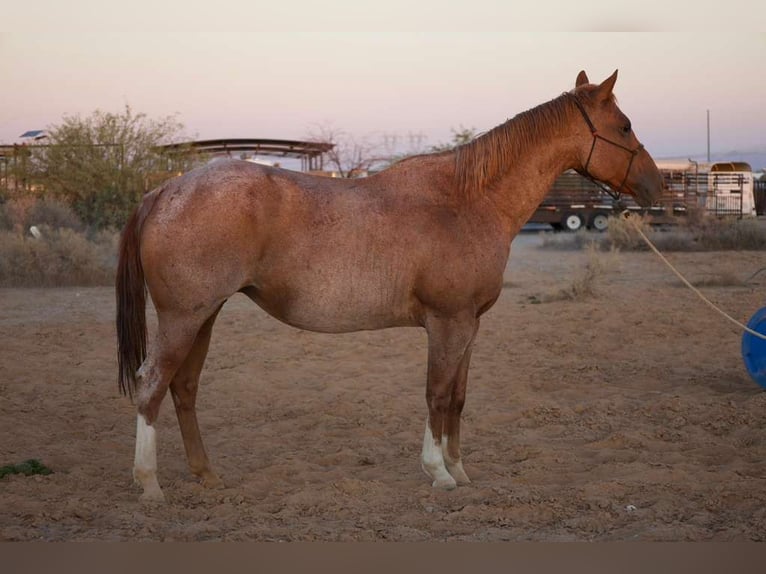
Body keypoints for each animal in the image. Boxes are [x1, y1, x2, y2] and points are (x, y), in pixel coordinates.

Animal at [116, 70, 663, 502]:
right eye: (624, 126)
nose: (658, 187)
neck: (468, 200)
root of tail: (165, 190)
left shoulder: (469, 326)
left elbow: (458, 397)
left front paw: (460, 469)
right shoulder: (447, 322)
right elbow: (436, 394)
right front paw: (438, 472)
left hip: (204, 315)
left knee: (183, 387)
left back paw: (206, 475)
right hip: (183, 317)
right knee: (151, 384)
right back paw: (149, 484)